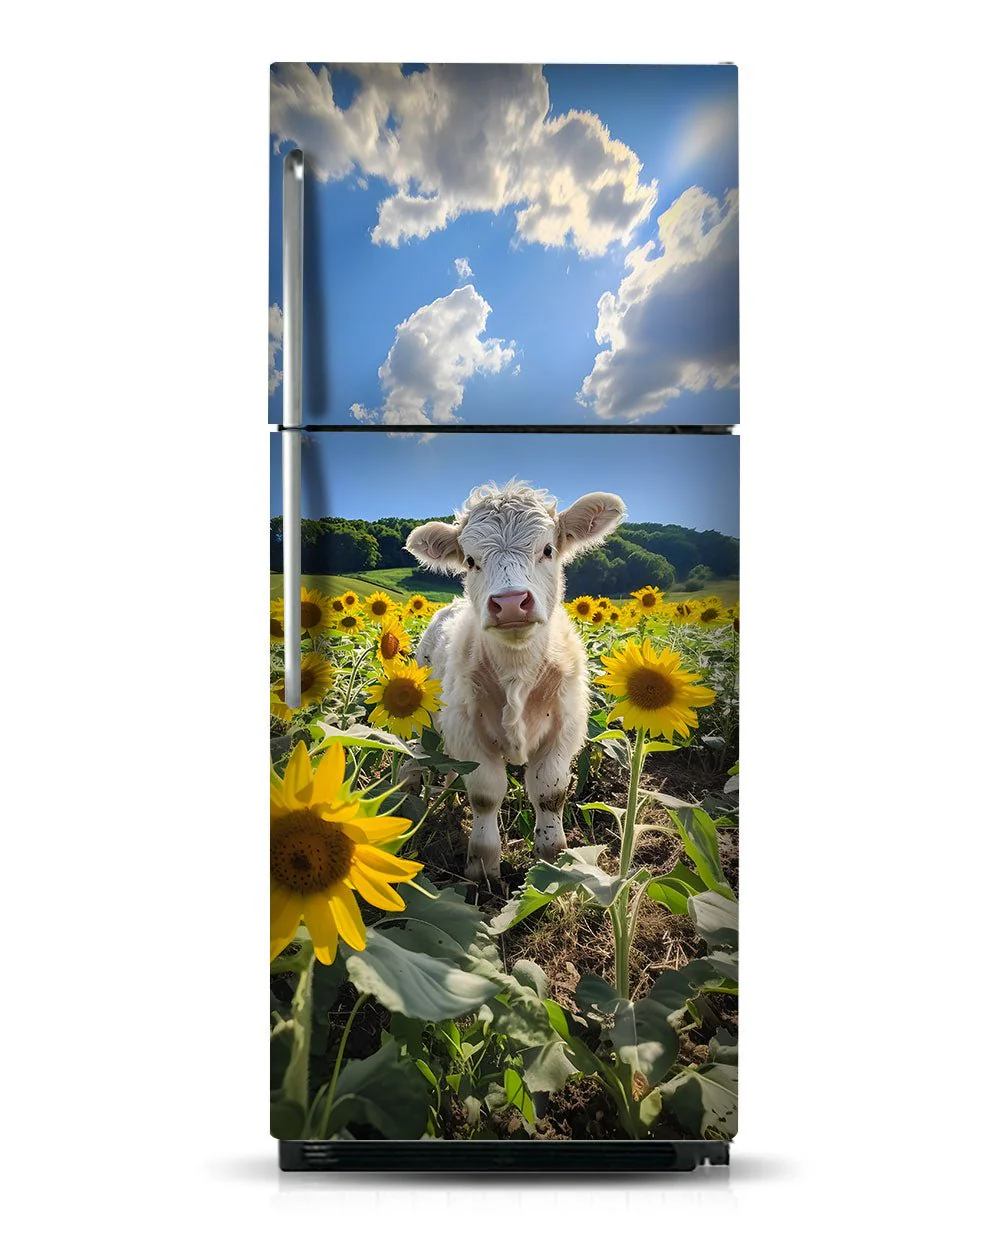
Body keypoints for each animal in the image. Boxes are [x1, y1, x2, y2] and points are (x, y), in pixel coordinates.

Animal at [405, 480, 626, 880]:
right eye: (470, 560)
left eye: (548, 549)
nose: (509, 603)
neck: (517, 671)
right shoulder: (469, 732)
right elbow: (485, 795)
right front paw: (483, 867)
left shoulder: (563, 731)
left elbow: (549, 793)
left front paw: (553, 863)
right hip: (425, 716)